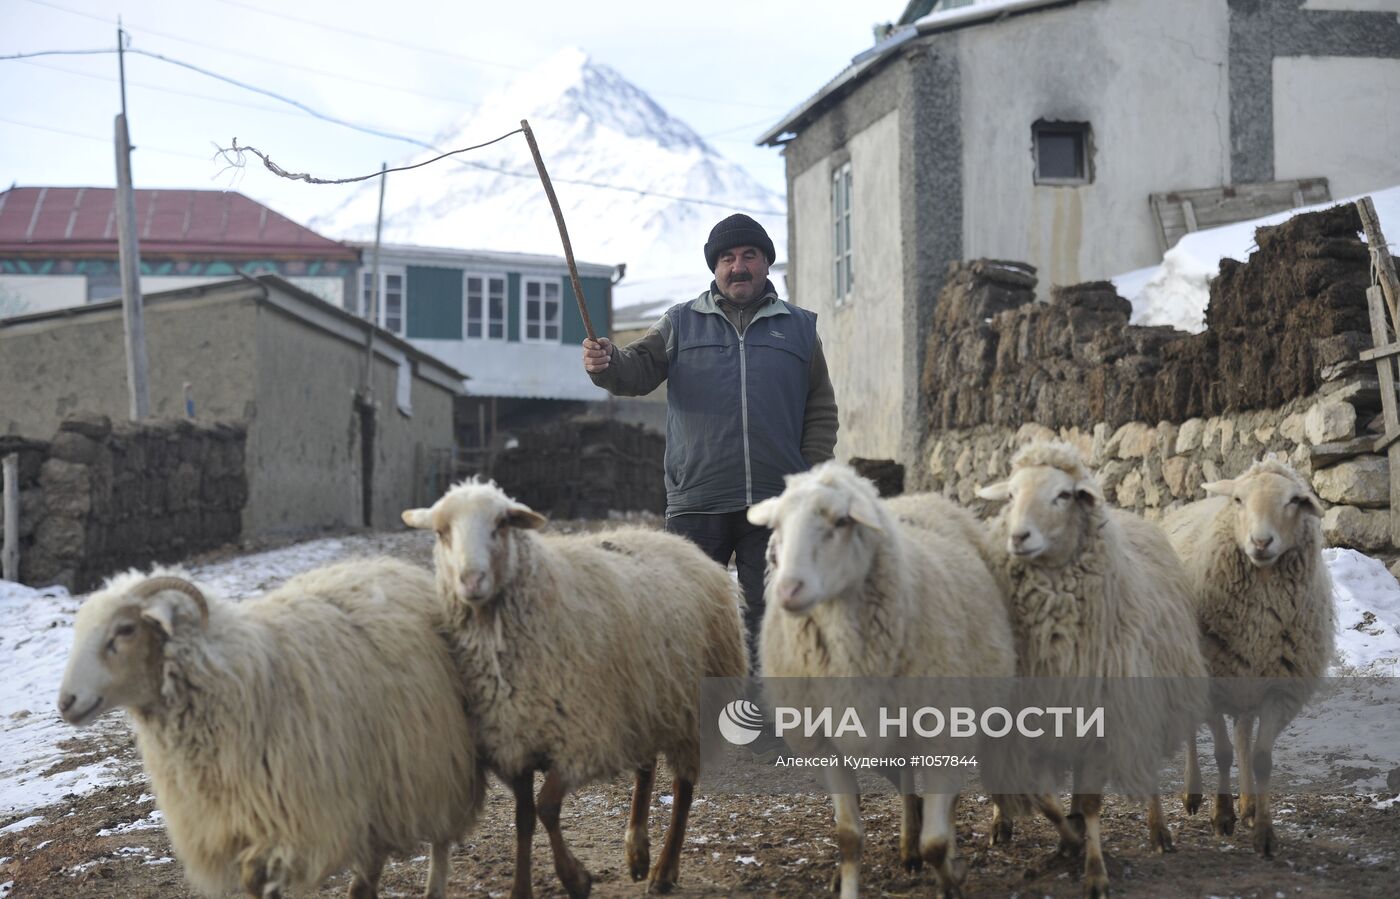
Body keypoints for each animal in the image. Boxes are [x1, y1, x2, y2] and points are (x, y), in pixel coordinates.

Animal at [57, 557, 484, 890]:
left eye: (125, 629)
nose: (66, 703)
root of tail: (395, 566)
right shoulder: (230, 822)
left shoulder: (294, 821)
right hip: (380, 779)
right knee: (373, 857)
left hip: (437, 759)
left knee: (441, 840)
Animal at [400, 478, 750, 896]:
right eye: (441, 531)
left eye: (501, 525)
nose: (471, 580)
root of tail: (683, 546)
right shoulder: (515, 740)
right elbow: (524, 818)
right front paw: (522, 889)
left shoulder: (580, 738)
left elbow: (547, 807)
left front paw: (576, 878)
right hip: (644, 700)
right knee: (646, 770)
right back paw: (637, 851)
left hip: (690, 707)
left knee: (682, 788)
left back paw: (664, 870)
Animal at [756, 462, 1069, 896]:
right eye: (778, 527)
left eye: (841, 521)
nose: (788, 590)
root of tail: (921, 497)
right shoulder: (825, 743)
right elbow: (849, 838)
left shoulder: (943, 731)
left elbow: (935, 842)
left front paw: (951, 877)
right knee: (905, 779)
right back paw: (908, 845)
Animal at [980, 442, 1209, 896]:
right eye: (1011, 494)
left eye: (1062, 495)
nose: (1018, 537)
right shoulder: (1028, 722)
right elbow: (1043, 796)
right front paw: (1068, 840)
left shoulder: (1107, 717)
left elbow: (1090, 803)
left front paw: (1095, 871)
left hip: (1143, 700)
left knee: (1145, 769)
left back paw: (1159, 830)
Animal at [1159, 453, 1332, 851]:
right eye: (1238, 500)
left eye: (1293, 501)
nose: (1261, 541)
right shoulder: (1211, 684)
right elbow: (1221, 753)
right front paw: (1222, 816)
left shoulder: (1280, 688)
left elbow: (1261, 758)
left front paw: (1264, 831)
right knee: (1197, 733)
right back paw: (1194, 794)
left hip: (1248, 680)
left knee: (1242, 732)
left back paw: (1249, 803)